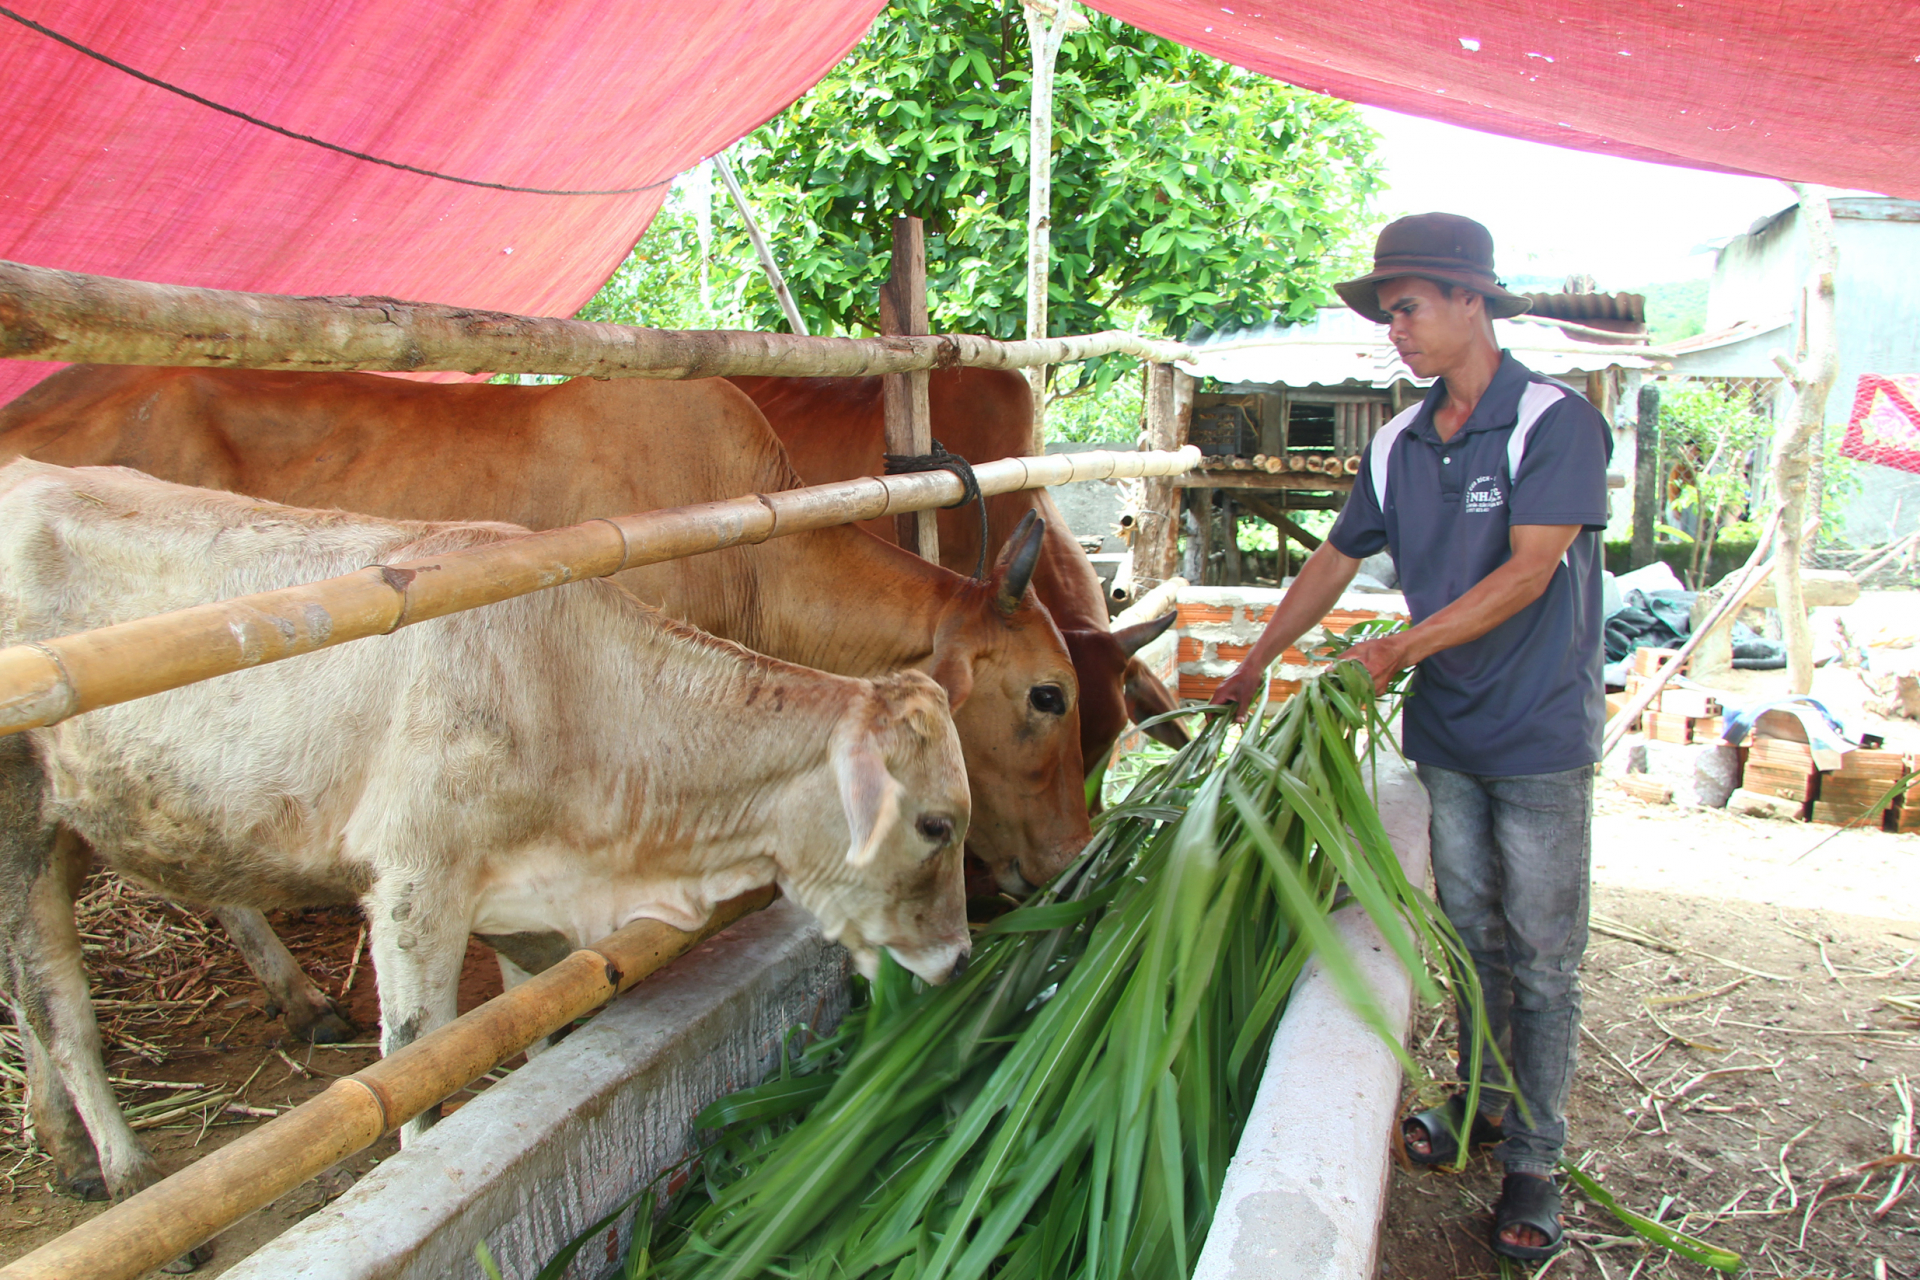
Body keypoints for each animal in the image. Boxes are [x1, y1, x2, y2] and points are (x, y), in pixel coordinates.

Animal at [0, 460, 967, 1212]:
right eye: (936, 823)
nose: (960, 960)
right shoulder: (414, 884)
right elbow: (413, 1064)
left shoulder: (528, 905)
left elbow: (544, 1025)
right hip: (25, 824)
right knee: (57, 1000)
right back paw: (124, 1168)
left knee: (30, 983)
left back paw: (71, 1144)